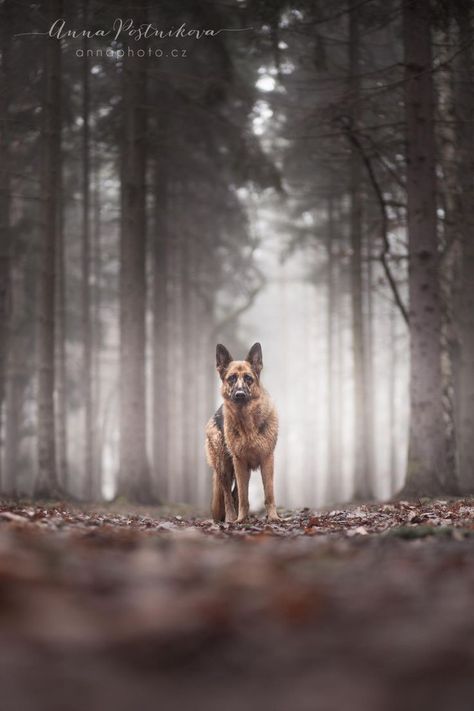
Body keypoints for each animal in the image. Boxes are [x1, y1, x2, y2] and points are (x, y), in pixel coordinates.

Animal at [206, 342, 280, 524]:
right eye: (231, 378)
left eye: (248, 378)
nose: (239, 394)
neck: (247, 423)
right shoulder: (239, 462)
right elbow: (243, 497)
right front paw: (240, 520)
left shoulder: (267, 460)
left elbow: (269, 494)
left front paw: (273, 517)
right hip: (224, 468)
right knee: (228, 495)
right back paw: (231, 518)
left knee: (234, 494)